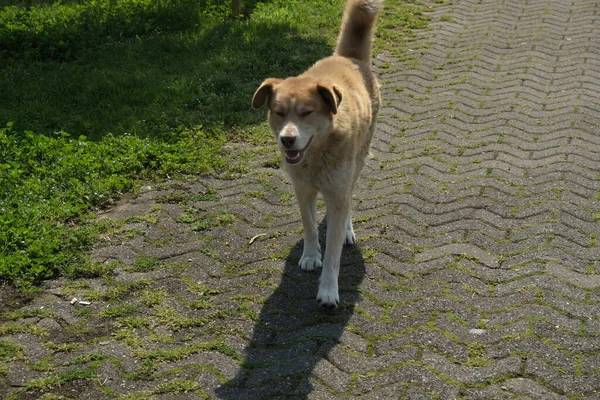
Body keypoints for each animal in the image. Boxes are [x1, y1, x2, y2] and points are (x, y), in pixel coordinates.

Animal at [251, 0, 382, 306]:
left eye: (307, 112)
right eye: (278, 112)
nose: (287, 140)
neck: (318, 153)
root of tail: (348, 58)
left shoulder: (337, 192)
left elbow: (333, 252)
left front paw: (328, 290)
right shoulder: (302, 189)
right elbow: (309, 225)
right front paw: (311, 256)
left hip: (356, 167)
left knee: (349, 200)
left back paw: (347, 229)